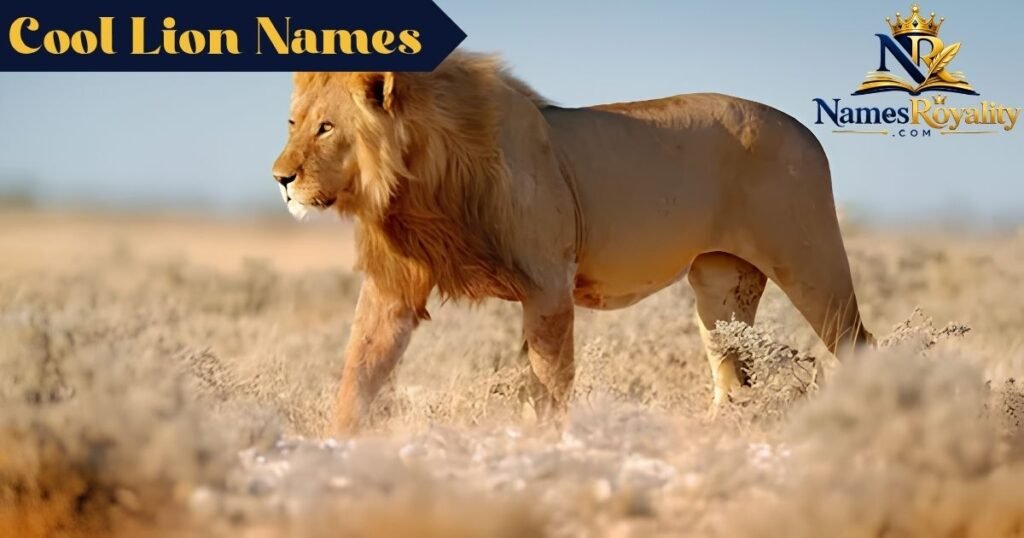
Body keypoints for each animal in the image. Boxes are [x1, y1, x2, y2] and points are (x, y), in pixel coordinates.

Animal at [271, 51, 874, 434]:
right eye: (293, 123)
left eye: (326, 128)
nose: (281, 178)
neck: (416, 183)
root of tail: (805, 129)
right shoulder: (393, 286)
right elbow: (360, 368)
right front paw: (334, 443)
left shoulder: (548, 284)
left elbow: (548, 379)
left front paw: (548, 442)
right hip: (721, 284)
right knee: (731, 370)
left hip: (810, 262)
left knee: (856, 341)